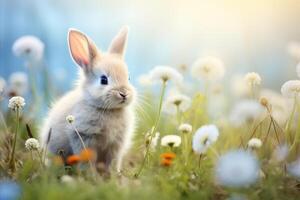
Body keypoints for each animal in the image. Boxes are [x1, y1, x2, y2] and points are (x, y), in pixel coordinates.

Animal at [39, 26, 135, 173]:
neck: (108, 109)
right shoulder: (83, 136)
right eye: (103, 80)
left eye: (128, 77)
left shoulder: (116, 144)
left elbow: (113, 160)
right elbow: (87, 158)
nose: (124, 93)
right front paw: (90, 175)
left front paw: (113, 174)